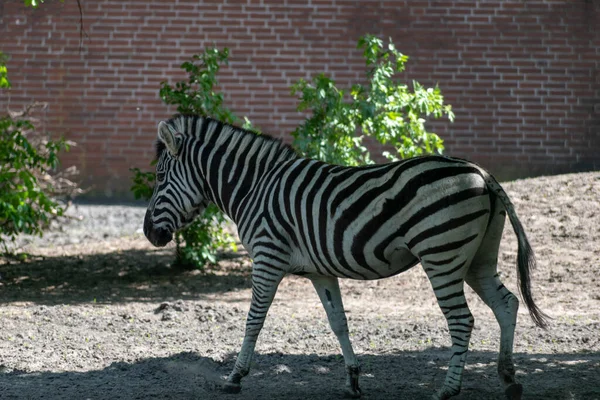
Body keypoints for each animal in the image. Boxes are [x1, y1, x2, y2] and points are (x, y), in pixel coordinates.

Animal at [143, 113, 548, 400]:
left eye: (160, 177)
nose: (148, 233)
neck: (254, 187)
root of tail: (481, 172)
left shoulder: (267, 258)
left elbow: (253, 321)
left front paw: (235, 376)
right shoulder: (320, 271)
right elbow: (338, 322)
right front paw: (353, 379)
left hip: (442, 255)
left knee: (463, 320)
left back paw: (447, 390)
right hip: (477, 259)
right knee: (507, 304)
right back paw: (509, 379)